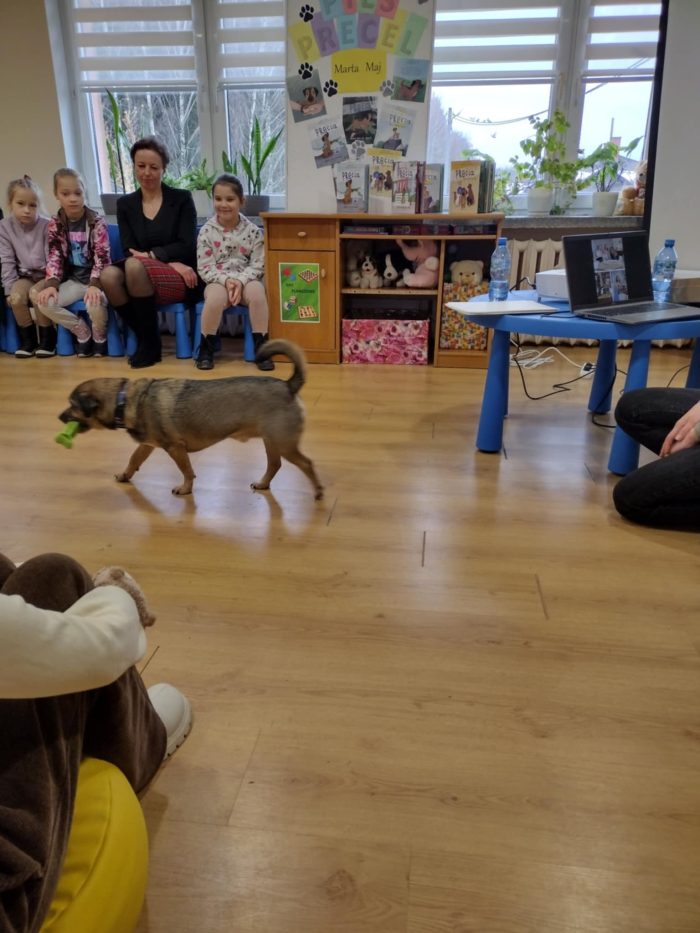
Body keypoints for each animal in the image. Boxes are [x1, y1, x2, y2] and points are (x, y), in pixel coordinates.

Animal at [58, 340, 324, 500]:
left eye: (72, 405)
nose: (60, 417)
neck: (127, 398)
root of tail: (289, 386)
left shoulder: (175, 448)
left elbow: (186, 470)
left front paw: (185, 489)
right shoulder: (147, 445)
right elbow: (133, 460)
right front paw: (125, 476)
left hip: (284, 444)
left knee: (307, 464)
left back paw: (318, 490)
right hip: (272, 442)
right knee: (274, 465)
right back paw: (263, 483)